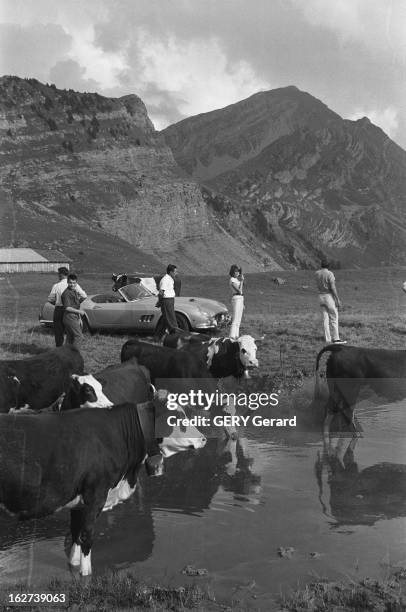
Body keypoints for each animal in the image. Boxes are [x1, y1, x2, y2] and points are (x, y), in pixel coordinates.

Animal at [0, 394, 208, 576]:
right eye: (176, 418)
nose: (204, 438)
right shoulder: (96, 495)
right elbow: (87, 537)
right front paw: (86, 576)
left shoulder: (79, 502)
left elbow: (75, 534)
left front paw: (74, 567)